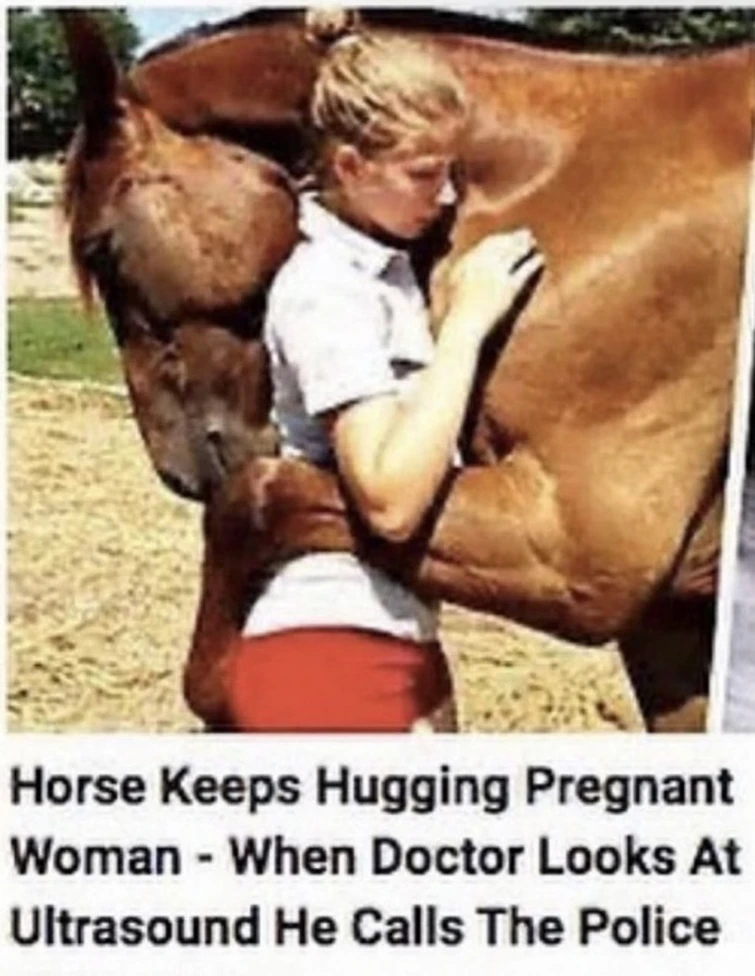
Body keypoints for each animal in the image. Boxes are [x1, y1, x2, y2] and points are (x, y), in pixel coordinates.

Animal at [61, 8, 755, 731]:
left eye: (100, 249)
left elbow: (253, 500)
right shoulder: (662, 615)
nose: (180, 468)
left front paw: (215, 688)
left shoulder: (573, 552)